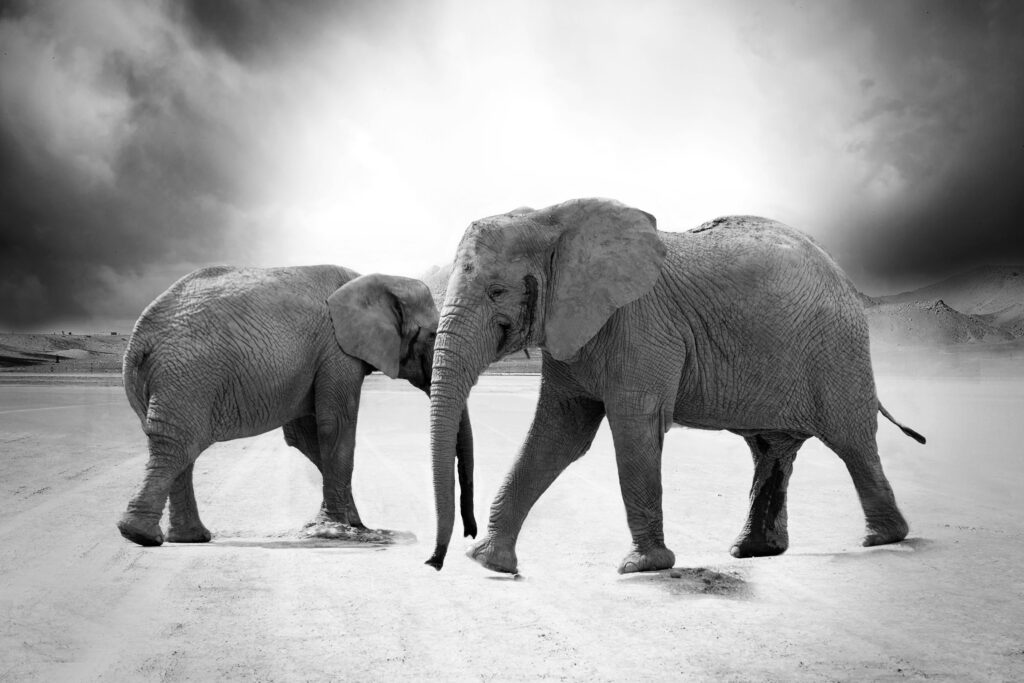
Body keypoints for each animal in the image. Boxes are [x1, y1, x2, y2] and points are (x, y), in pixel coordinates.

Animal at [117, 264, 477, 548]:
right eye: (432, 335)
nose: (470, 535)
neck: (375, 279)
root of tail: (139, 339)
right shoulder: (336, 350)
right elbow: (335, 427)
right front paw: (340, 529)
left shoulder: (320, 359)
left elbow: (306, 436)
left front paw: (354, 525)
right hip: (187, 377)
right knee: (178, 446)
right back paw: (142, 536)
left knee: (179, 449)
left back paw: (187, 538)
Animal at [423, 200, 929, 573]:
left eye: (496, 292)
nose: (435, 562)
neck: (551, 220)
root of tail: (844, 277)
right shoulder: (574, 332)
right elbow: (558, 434)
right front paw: (489, 562)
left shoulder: (642, 326)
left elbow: (634, 427)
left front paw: (643, 567)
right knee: (771, 450)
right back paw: (754, 551)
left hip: (838, 351)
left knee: (852, 440)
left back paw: (883, 538)